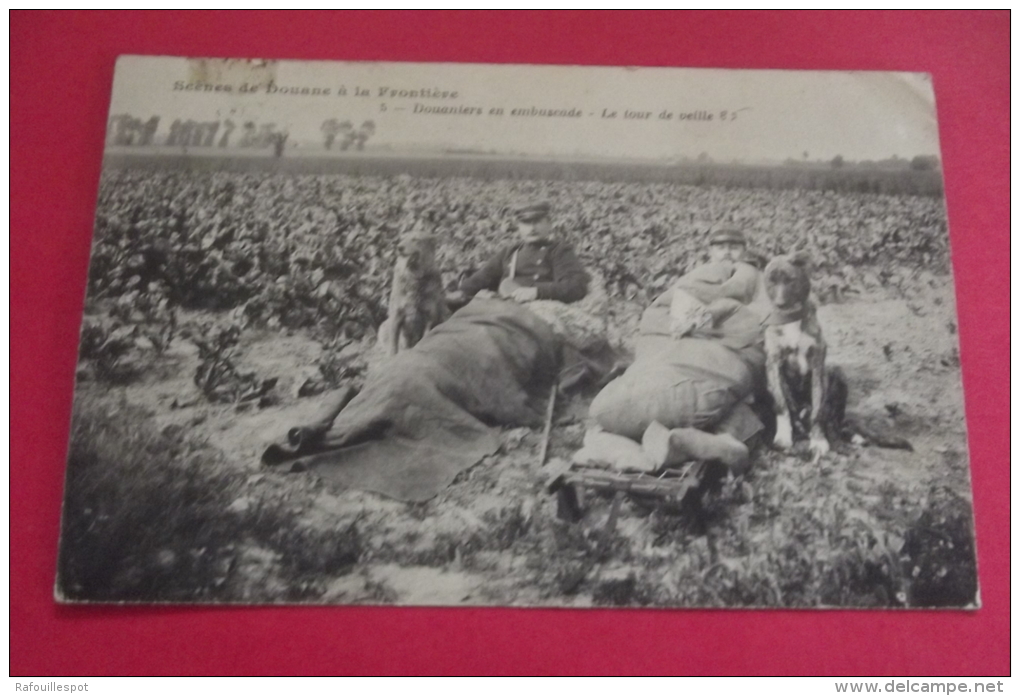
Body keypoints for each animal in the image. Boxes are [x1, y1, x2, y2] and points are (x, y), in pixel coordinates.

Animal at [762, 252, 840, 457]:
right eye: (771, 281)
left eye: (790, 280)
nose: (780, 304)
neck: (790, 318)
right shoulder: (773, 364)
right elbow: (781, 405)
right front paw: (783, 436)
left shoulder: (817, 365)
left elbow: (818, 409)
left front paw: (819, 440)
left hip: (833, 374)